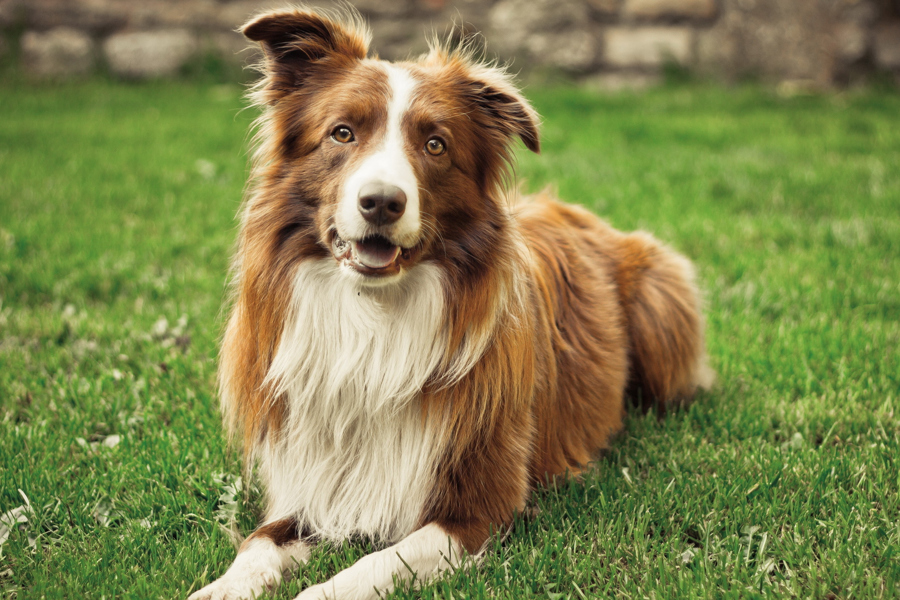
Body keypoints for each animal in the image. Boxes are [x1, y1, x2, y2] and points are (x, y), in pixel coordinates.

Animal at [188, 5, 712, 600]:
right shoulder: (308, 484)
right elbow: (256, 548)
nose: (381, 202)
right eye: (342, 133)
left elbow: (368, 567)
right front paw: (219, 588)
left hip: (659, 303)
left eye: (435, 145)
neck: (374, 320)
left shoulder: (478, 508)